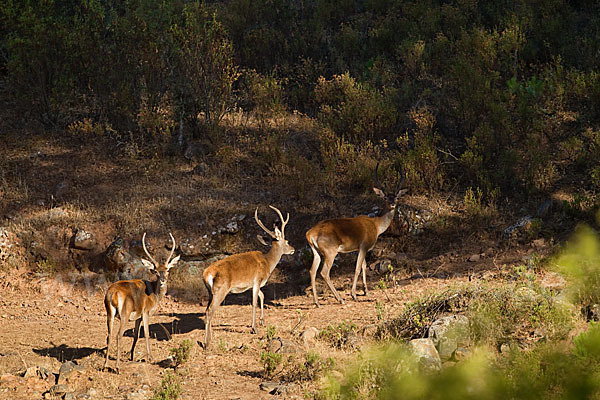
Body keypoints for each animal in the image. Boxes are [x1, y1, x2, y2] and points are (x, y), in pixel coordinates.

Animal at [103, 231, 179, 372]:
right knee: (118, 335)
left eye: (167, 270)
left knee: (109, 335)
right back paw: (117, 367)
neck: (154, 295)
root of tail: (112, 294)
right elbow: (147, 333)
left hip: (109, 313)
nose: (162, 280)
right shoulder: (145, 311)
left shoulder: (137, 316)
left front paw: (132, 356)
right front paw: (151, 358)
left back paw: (105, 365)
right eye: (155, 271)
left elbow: (136, 335)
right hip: (124, 313)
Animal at [203, 208, 294, 348]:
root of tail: (207, 273)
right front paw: (254, 328)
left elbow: (262, 296)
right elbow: (254, 302)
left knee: (207, 310)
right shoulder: (257, 280)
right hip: (220, 290)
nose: (293, 249)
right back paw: (207, 342)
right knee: (209, 311)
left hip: (210, 292)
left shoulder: (252, 285)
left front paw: (262, 321)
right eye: (287, 241)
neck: (268, 263)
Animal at [304, 165, 408, 306]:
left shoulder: (360, 248)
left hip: (316, 251)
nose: (392, 203)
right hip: (330, 250)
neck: (377, 226)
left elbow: (363, 266)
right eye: (385, 197)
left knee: (312, 270)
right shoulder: (364, 245)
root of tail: (310, 234)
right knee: (324, 272)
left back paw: (317, 302)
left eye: (397, 197)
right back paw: (340, 299)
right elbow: (358, 268)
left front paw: (365, 291)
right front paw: (354, 295)